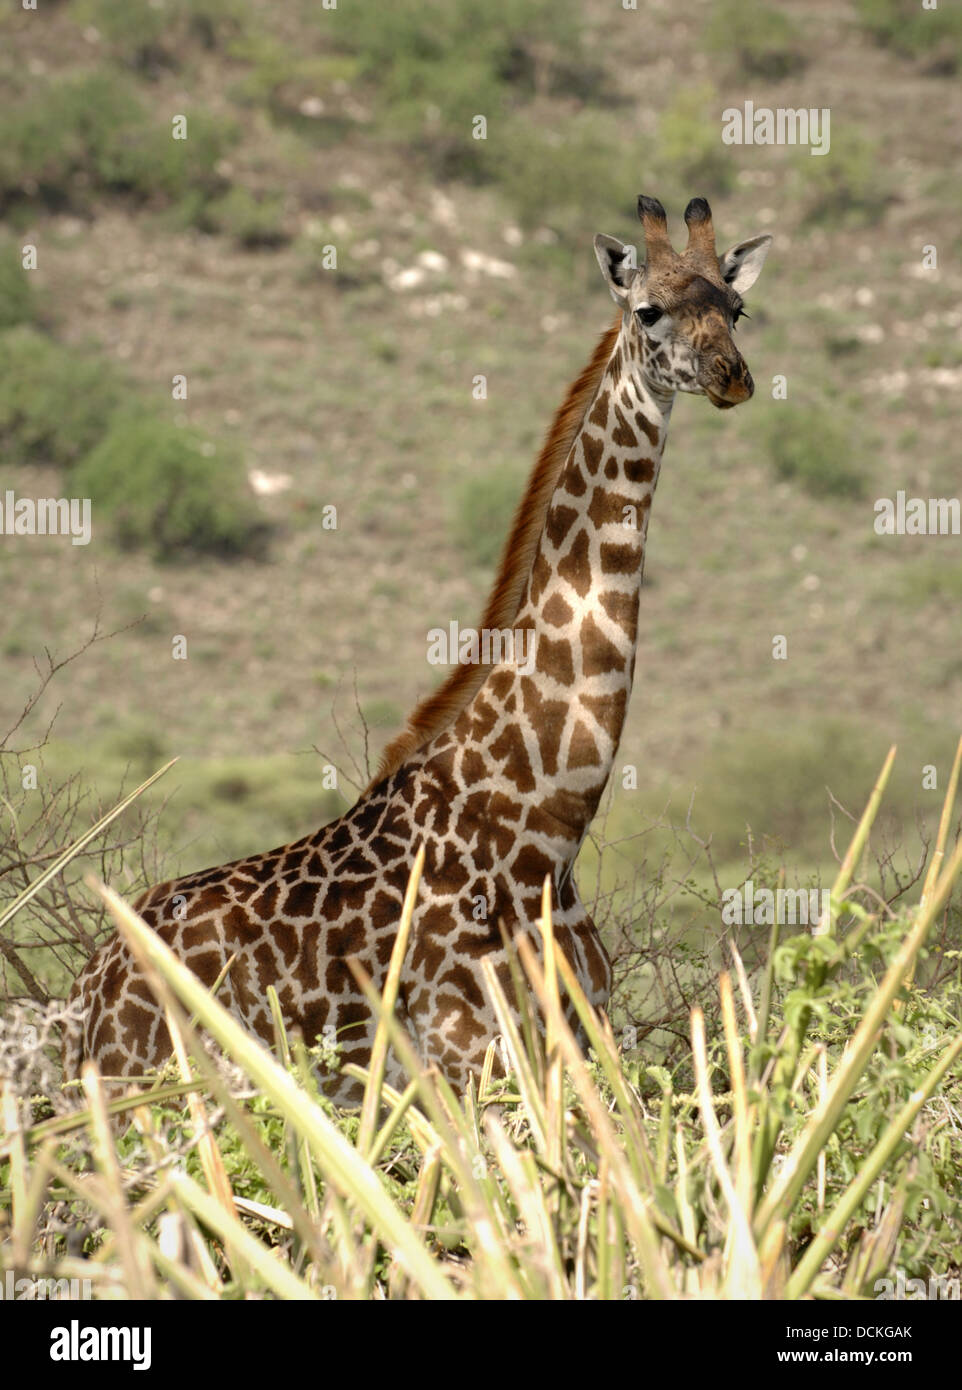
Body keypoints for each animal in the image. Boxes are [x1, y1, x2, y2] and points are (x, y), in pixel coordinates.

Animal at [61, 201, 767, 1100]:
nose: (731, 376)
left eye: (736, 308)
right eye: (648, 311)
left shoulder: (579, 1038)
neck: (546, 828)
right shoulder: (466, 1056)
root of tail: (87, 991)